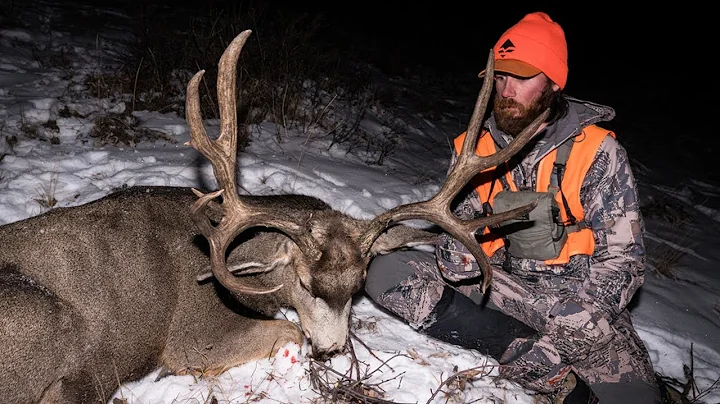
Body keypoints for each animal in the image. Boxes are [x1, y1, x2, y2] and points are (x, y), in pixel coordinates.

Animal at [0, 29, 545, 403]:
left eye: (359, 285)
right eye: (303, 281)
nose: (332, 347)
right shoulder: (192, 337)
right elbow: (286, 330)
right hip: (43, 319)